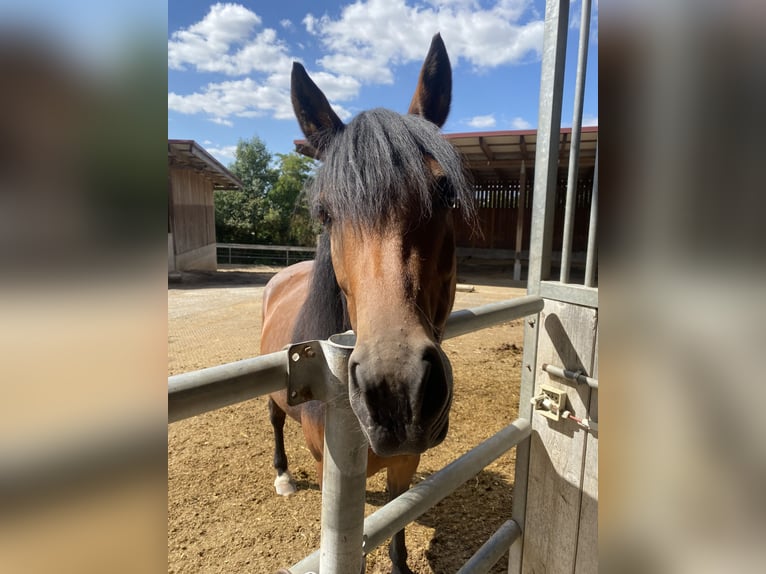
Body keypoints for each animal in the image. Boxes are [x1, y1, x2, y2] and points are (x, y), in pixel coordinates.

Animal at [260, 33, 475, 574]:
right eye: (324, 213)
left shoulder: (406, 460)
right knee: (274, 420)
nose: (396, 391)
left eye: (445, 191)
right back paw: (282, 475)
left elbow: (396, 522)